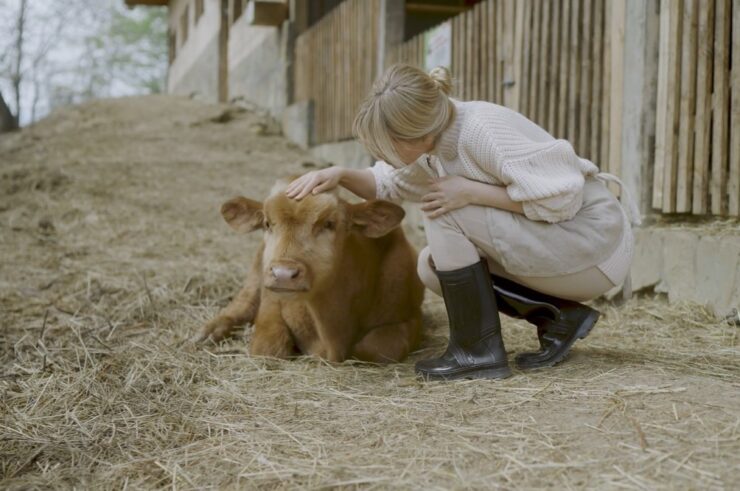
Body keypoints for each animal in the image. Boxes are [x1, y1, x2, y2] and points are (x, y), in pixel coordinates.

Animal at [199, 179, 424, 364]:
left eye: (329, 224)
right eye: (267, 223)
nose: (283, 273)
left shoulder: (410, 318)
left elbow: (375, 348)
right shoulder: (272, 303)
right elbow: (269, 349)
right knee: (241, 305)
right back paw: (208, 332)